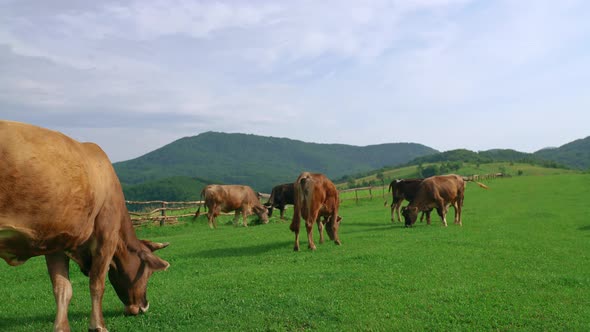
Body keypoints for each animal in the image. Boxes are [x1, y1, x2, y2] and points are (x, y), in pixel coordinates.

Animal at [0, 121, 171, 332]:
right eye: (147, 273)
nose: (144, 306)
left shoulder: (56, 241)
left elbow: (62, 288)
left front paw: (62, 327)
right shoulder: (106, 236)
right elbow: (97, 283)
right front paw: (98, 325)